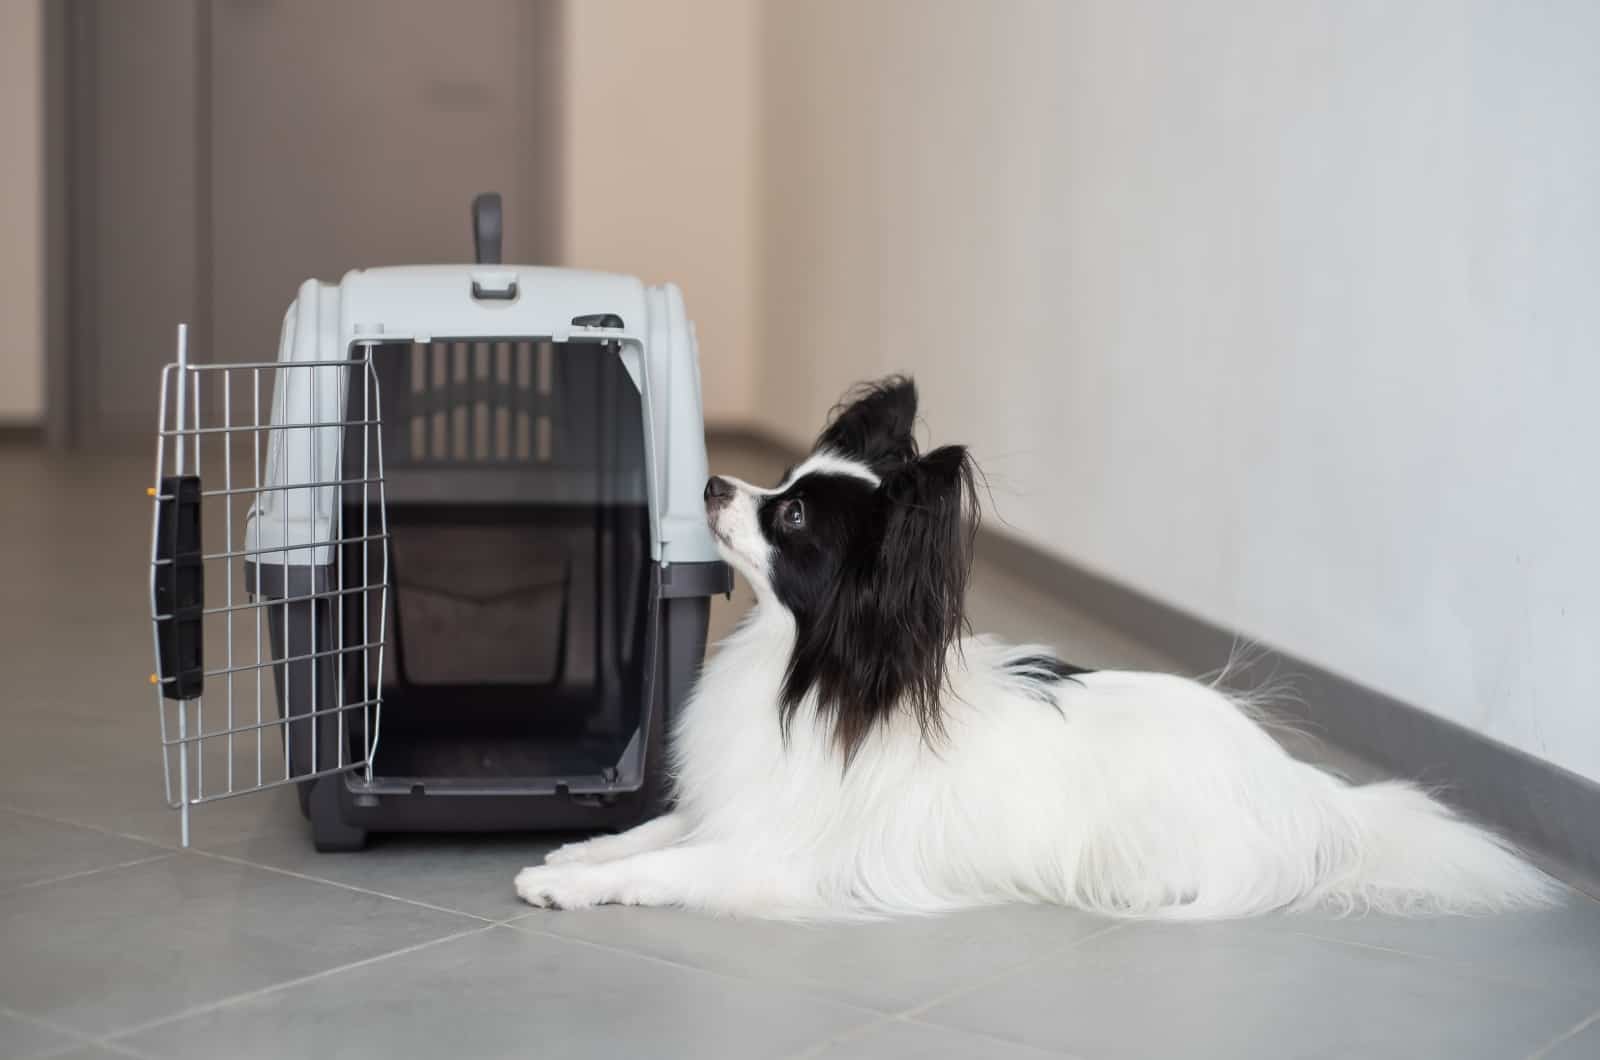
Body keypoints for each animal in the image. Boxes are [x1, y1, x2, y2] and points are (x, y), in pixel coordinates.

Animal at [518, 379, 1555, 922]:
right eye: (782, 478)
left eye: (795, 515)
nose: (711, 485)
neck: (805, 666)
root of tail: (1303, 792)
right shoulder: (732, 808)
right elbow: (657, 830)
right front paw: (577, 850)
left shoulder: (778, 858)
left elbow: (668, 867)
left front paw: (571, 886)